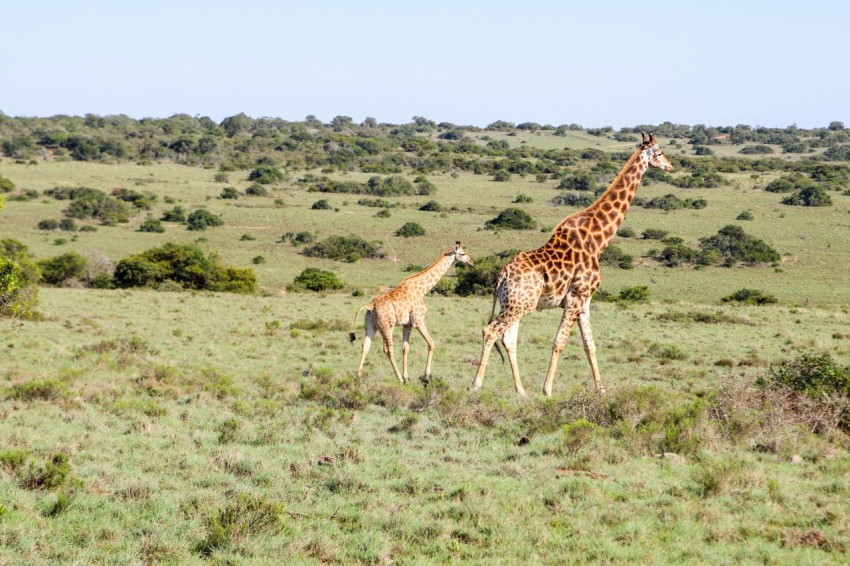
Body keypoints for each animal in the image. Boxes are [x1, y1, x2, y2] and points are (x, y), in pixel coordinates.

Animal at [348, 242, 474, 384]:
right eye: (462, 253)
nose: (471, 262)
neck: (422, 290)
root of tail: (370, 305)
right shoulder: (418, 320)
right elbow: (431, 343)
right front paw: (426, 375)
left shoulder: (407, 324)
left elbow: (405, 348)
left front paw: (407, 377)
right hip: (387, 326)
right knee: (387, 349)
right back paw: (398, 378)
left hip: (371, 325)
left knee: (365, 345)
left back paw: (359, 376)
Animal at [470, 134, 668, 400]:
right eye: (660, 152)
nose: (670, 166)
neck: (599, 239)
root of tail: (502, 275)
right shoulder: (576, 296)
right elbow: (559, 342)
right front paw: (547, 389)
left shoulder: (585, 301)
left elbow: (590, 345)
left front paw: (600, 390)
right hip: (519, 305)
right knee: (490, 331)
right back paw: (475, 385)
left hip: (513, 304)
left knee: (508, 339)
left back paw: (521, 391)